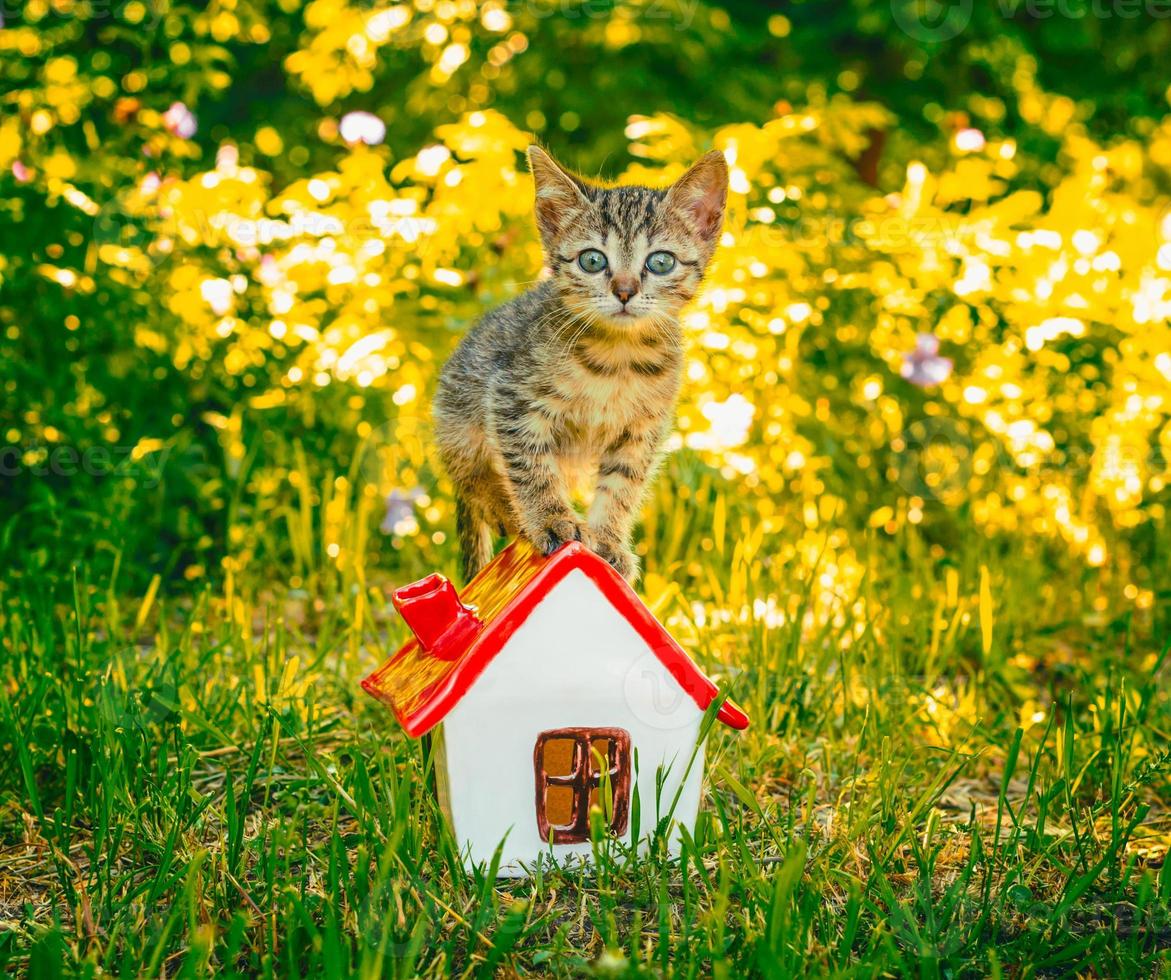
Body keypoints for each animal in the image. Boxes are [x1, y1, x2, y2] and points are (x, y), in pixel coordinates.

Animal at [435, 145, 726, 580]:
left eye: (660, 262)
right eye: (592, 261)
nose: (624, 291)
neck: (617, 358)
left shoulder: (642, 431)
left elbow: (622, 486)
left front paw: (608, 540)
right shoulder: (511, 396)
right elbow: (531, 466)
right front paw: (552, 520)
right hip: (458, 412)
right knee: (471, 475)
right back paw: (503, 506)